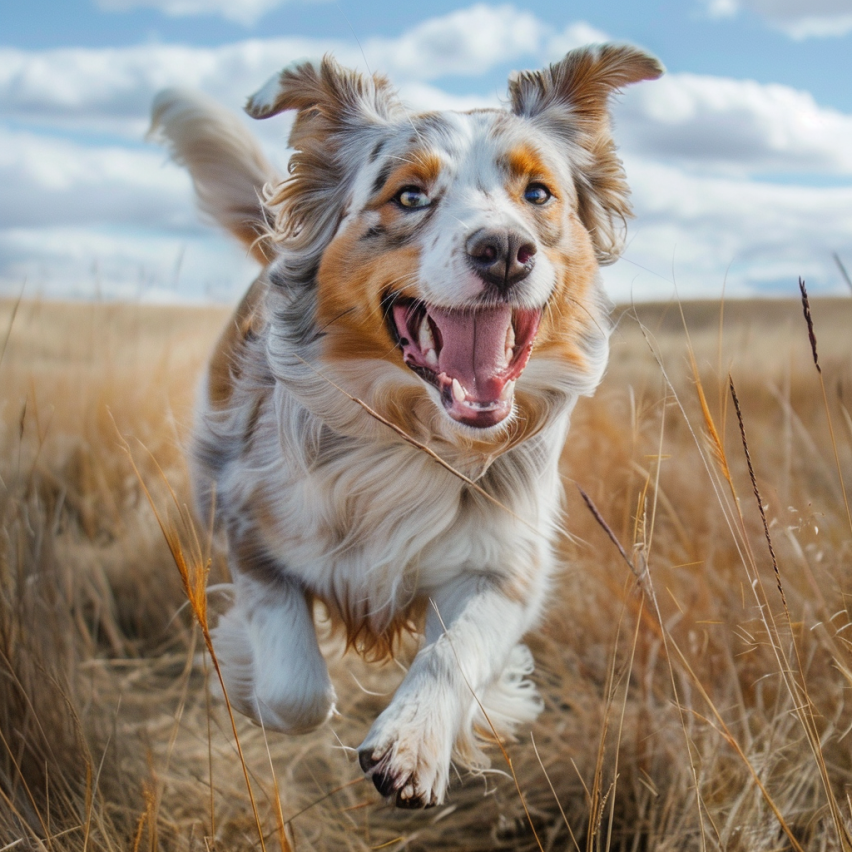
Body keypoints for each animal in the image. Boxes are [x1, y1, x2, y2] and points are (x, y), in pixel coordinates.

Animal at [150, 43, 664, 808]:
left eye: (538, 194)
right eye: (410, 196)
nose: (504, 251)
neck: (411, 436)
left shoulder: (506, 563)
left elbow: (454, 653)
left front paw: (415, 741)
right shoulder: (251, 530)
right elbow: (296, 689)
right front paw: (248, 686)